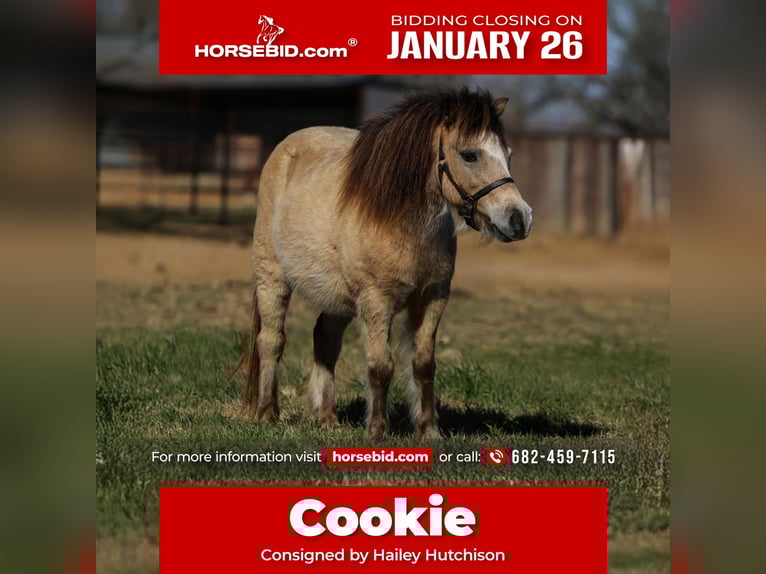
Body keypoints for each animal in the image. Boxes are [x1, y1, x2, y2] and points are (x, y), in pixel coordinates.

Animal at [243, 88, 532, 440]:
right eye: (469, 155)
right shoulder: (377, 301)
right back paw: (266, 413)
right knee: (271, 340)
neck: (398, 221)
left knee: (325, 340)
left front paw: (428, 432)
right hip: (272, 278)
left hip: (338, 298)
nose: (519, 219)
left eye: (508, 154)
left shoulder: (432, 298)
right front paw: (377, 431)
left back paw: (326, 418)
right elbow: (380, 366)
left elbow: (423, 364)